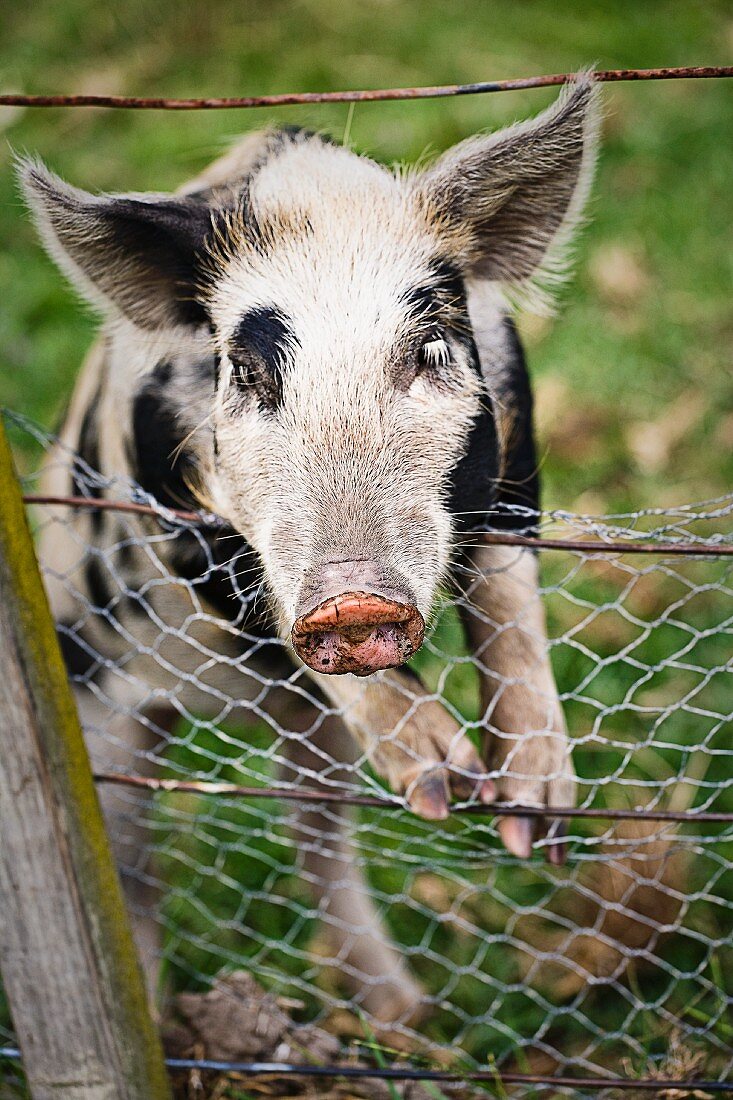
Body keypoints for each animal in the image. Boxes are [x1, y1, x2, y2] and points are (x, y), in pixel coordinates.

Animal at [19, 73, 598, 1025]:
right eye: (247, 375)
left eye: (430, 348)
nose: (353, 598)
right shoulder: (168, 512)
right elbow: (255, 596)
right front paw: (452, 777)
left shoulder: (517, 453)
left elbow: (509, 595)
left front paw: (527, 818)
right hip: (98, 725)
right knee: (137, 881)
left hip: (315, 744)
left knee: (317, 836)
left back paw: (407, 1010)